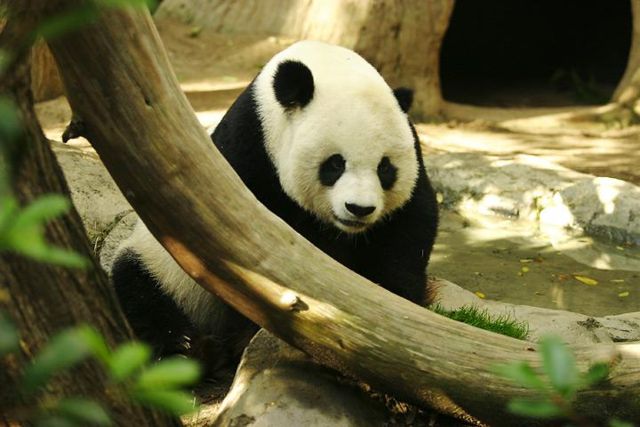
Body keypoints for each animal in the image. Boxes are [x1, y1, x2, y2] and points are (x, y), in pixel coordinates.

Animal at [111, 40, 439, 374]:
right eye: (335, 164)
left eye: (385, 168)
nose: (359, 209)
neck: (326, 64)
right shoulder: (249, 155)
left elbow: (409, 228)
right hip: (160, 267)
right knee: (140, 291)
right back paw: (188, 349)